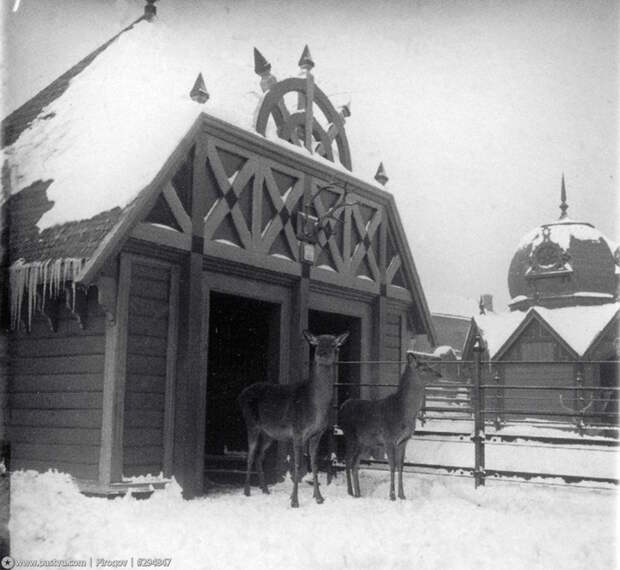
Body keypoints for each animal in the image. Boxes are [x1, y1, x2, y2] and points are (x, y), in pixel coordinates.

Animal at [236, 328, 346, 506]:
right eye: (316, 343)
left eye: (334, 345)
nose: (321, 354)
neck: (316, 407)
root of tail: (240, 395)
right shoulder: (297, 430)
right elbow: (297, 465)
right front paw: (294, 501)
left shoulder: (317, 433)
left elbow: (314, 464)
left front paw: (319, 497)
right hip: (251, 423)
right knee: (250, 454)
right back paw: (246, 491)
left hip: (269, 433)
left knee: (259, 455)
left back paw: (265, 489)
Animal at [340, 350, 440, 496]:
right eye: (423, 368)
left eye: (428, 364)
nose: (439, 374)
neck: (404, 412)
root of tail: (342, 407)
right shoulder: (388, 438)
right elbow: (392, 466)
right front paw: (392, 496)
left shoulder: (404, 441)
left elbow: (401, 467)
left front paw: (402, 495)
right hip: (350, 436)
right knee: (347, 461)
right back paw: (350, 492)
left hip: (364, 442)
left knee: (354, 464)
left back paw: (358, 493)